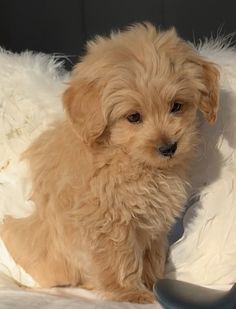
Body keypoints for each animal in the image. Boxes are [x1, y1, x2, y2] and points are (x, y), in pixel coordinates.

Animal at [0, 22, 219, 302]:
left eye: (177, 106)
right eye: (133, 117)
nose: (169, 147)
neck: (125, 157)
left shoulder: (153, 224)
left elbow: (152, 253)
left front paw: (153, 282)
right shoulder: (108, 223)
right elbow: (120, 257)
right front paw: (130, 292)